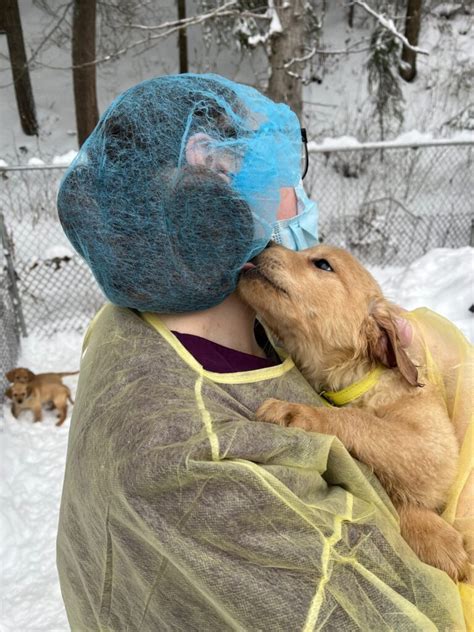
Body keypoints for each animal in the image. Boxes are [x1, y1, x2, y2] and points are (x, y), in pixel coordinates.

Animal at [239, 241, 468, 584]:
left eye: (322, 264)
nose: (266, 242)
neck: (358, 379)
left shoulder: (435, 448)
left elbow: (360, 422)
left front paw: (294, 410)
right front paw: (436, 538)